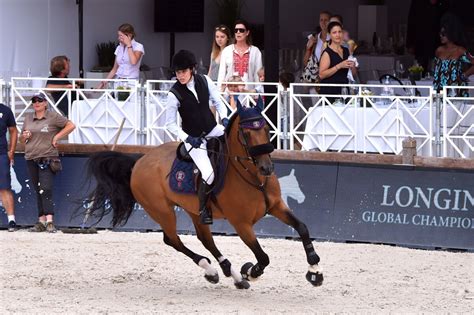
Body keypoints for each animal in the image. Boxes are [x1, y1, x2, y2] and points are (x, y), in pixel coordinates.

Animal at [84, 97, 322, 290]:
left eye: (266, 130)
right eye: (245, 133)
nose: (266, 168)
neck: (254, 178)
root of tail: (139, 162)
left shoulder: (276, 206)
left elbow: (302, 228)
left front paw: (315, 270)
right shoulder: (241, 224)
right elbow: (263, 257)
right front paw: (250, 271)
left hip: (195, 211)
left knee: (205, 240)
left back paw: (231, 274)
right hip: (162, 211)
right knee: (173, 240)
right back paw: (213, 270)